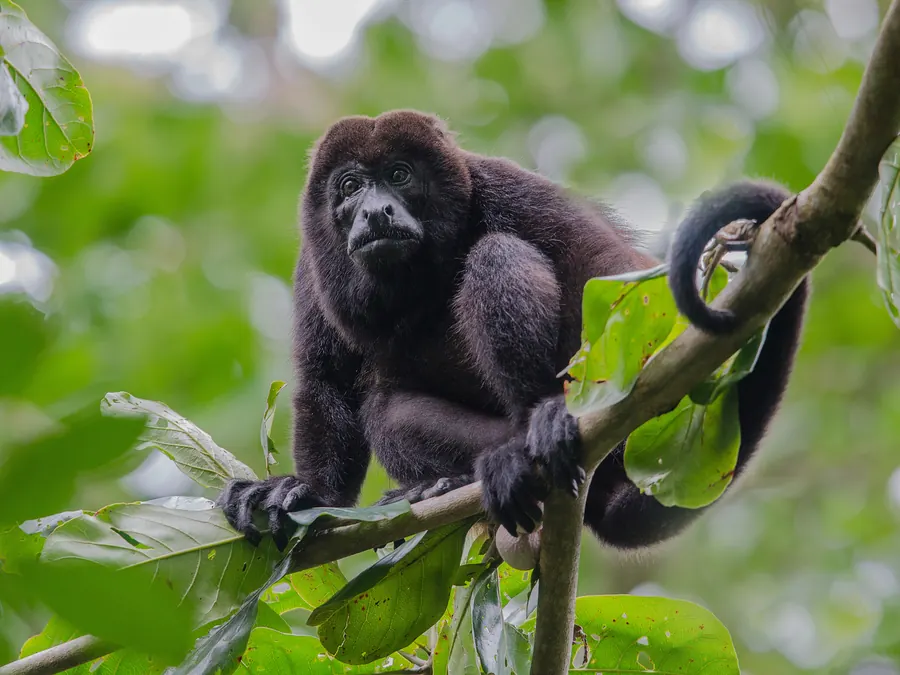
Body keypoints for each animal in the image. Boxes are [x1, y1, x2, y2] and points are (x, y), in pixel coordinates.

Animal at [218, 110, 808, 552]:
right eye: (350, 185)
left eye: (400, 175)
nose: (376, 211)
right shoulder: (312, 263)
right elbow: (327, 381)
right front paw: (302, 493)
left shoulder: (503, 185)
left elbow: (602, 264)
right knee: (386, 411)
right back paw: (460, 478)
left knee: (497, 255)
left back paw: (539, 424)